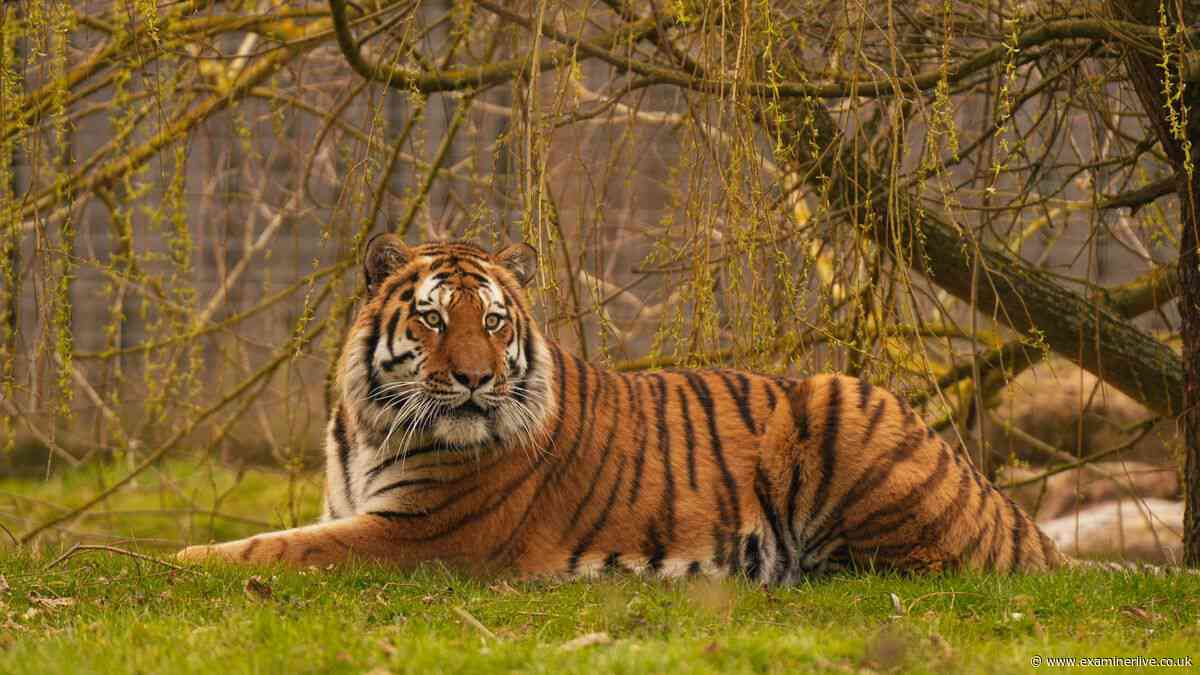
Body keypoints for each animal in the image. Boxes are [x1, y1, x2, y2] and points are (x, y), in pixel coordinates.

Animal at [177, 235, 1074, 581]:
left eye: (492, 320)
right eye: (432, 318)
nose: (472, 379)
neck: (367, 425)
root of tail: (1007, 508)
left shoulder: (419, 534)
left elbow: (269, 548)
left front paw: (165, 557)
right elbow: (277, 538)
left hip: (843, 403)